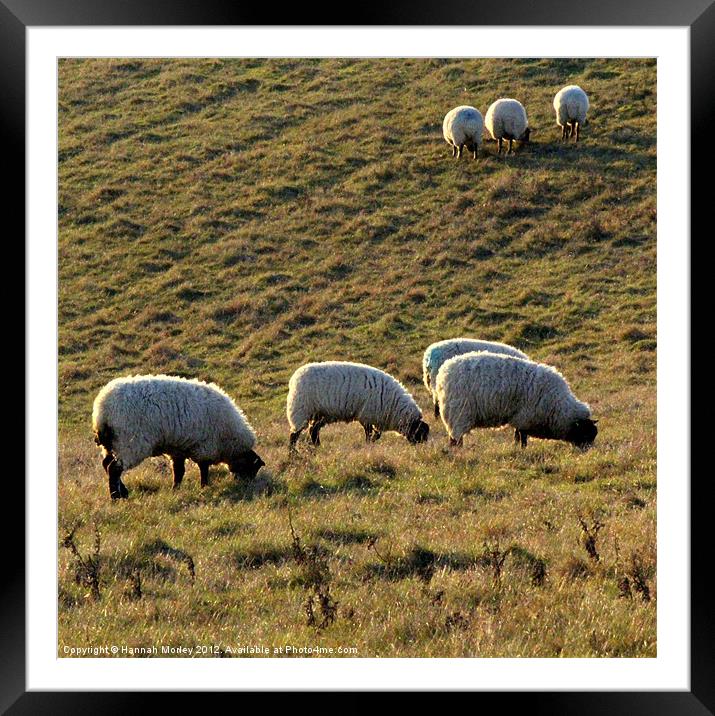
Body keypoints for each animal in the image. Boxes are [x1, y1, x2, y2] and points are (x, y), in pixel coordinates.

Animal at [92, 374, 264, 498]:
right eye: (252, 469)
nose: (246, 486)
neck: (229, 442)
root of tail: (102, 410)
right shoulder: (204, 447)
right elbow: (203, 468)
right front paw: (204, 486)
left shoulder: (178, 449)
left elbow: (179, 471)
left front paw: (176, 489)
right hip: (130, 443)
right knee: (113, 468)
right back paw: (116, 497)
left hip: (111, 444)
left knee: (106, 464)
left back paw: (123, 492)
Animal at [286, 360, 430, 450]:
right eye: (420, 433)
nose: (422, 448)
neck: (393, 405)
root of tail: (294, 378)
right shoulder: (367, 415)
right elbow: (370, 434)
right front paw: (368, 445)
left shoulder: (373, 417)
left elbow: (376, 435)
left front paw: (371, 444)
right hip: (301, 410)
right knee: (294, 434)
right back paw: (293, 453)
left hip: (321, 413)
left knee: (313, 430)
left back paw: (318, 447)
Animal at [436, 352, 600, 448]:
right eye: (585, 433)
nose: (588, 452)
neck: (557, 406)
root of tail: (443, 372)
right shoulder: (525, 418)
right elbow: (522, 437)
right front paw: (522, 449)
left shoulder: (520, 418)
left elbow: (517, 435)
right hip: (459, 413)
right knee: (456, 439)